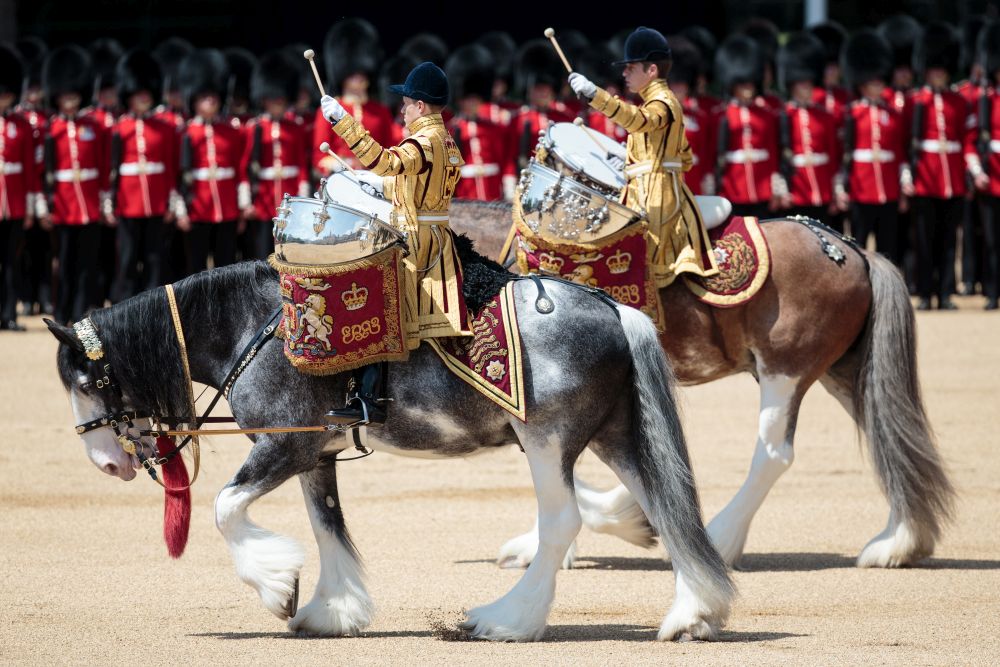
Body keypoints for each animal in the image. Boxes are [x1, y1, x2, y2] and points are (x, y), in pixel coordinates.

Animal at [47, 260, 736, 640]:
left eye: (85, 382)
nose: (108, 463)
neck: (259, 327)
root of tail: (613, 308)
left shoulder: (282, 446)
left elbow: (225, 508)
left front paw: (276, 586)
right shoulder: (315, 454)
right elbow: (326, 525)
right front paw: (329, 609)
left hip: (547, 441)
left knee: (562, 522)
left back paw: (507, 621)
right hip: (617, 435)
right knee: (668, 510)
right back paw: (692, 616)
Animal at [452, 201, 952, 572]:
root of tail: (850, 248)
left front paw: (602, 525)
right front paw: (617, 516)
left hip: (785, 371)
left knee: (774, 454)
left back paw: (721, 538)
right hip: (843, 373)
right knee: (889, 437)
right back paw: (897, 543)